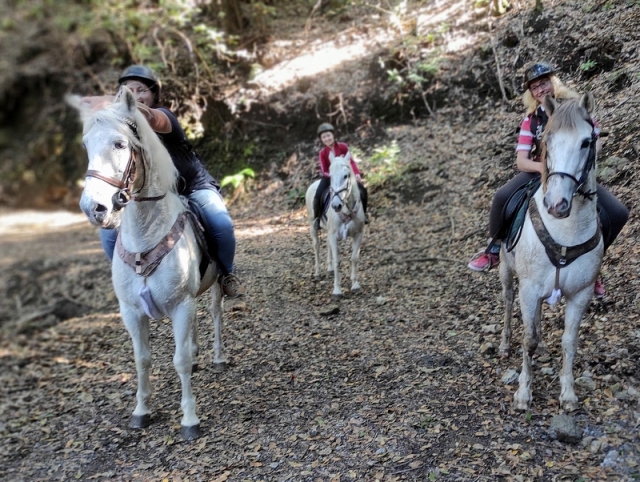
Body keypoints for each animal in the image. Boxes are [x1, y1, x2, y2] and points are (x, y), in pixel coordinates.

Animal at [68, 87, 225, 440]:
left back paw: (218, 357)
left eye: (120, 144)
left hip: (214, 288)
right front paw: (141, 411)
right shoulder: (132, 312)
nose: (93, 207)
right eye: (86, 144)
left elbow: (179, 361)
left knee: (214, 314)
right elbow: (142, 360)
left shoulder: (180, 305)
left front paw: (189, 419)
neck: (144, 237)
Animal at [304, 153, 364, 300]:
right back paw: (317, 272)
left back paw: (329, 268)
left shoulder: (358, 234)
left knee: (327, 244)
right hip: (312, 226)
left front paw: (355, 285)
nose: (336, 205)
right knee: (317, 246)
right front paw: (337, 290)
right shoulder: (333, 234)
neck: (347, 210)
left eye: (346, 175)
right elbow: (338, 261)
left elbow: (354, 258)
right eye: (330, 176)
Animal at [502, 93, 604, 410]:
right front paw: (523, 394)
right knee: (508, 301)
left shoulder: (580, 293)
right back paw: (503, 344)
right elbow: (528, 339)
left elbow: (569, 341)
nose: (556, 204)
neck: (566, 232)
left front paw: (568, 394)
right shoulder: (529, 288)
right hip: (506, 272)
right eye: (547, 139)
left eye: (586, 142)